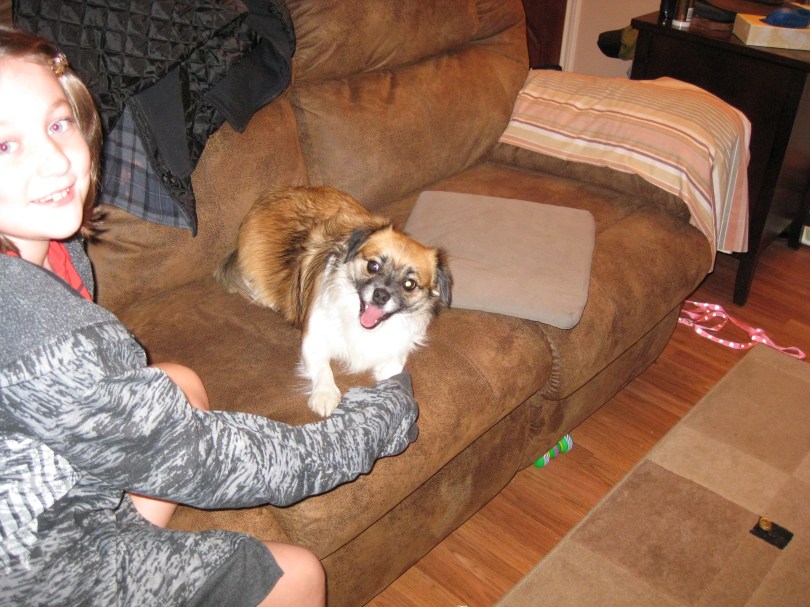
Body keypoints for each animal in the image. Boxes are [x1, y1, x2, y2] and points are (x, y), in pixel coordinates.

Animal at [216, 186, 452, 417]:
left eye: (409, 284)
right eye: (373, 266)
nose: (381, 294)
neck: (363, 327)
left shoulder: (396, 350)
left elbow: (393, 372)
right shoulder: (313, 339)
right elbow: (323, 367)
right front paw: (325, 395)